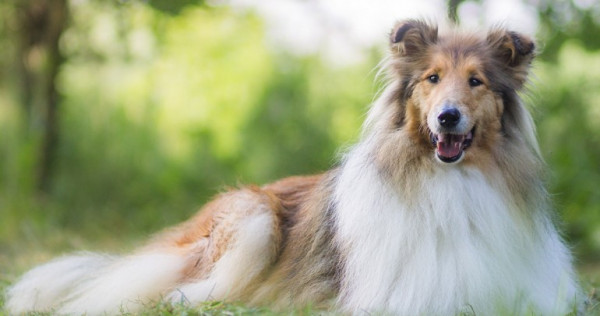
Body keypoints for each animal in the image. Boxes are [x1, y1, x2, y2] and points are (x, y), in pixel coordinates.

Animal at [5, 20, 580, 316]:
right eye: (432, 79)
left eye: (476, 81)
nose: (448, 117)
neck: (451, 183)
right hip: (252, 216)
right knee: (176, 293)